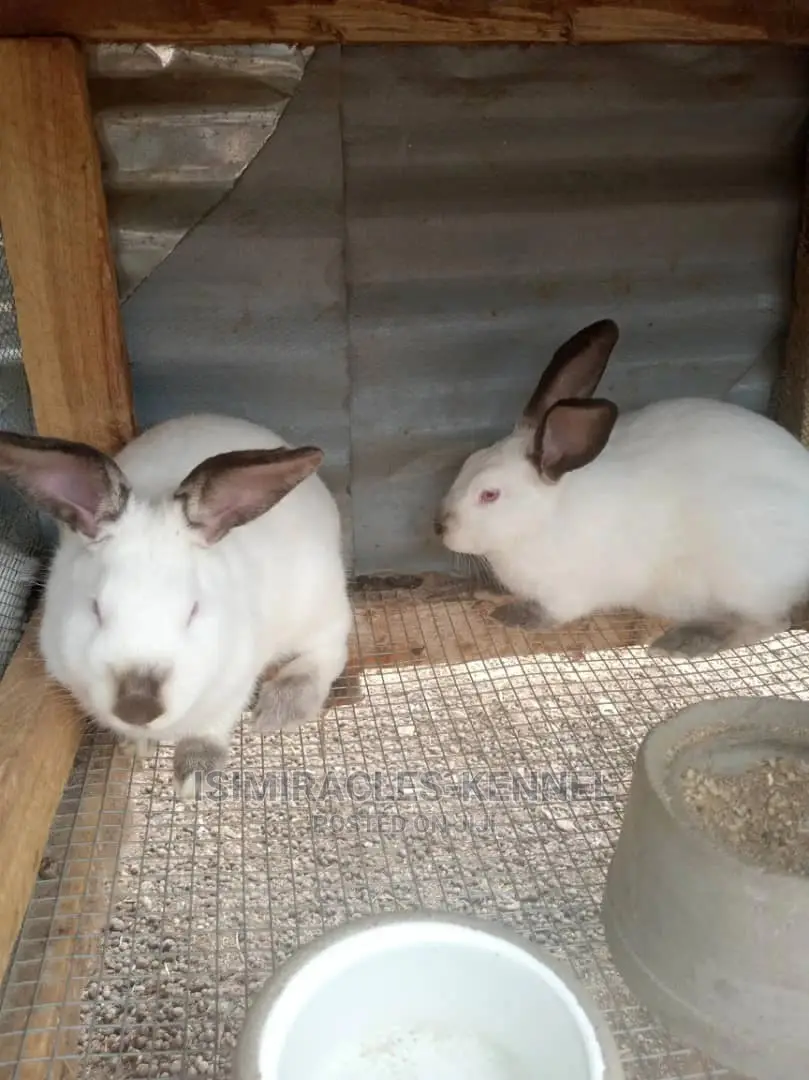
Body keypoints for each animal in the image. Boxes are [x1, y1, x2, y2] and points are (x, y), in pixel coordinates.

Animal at [0, 414, 352, 800]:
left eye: (193, 611)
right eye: (95, 608)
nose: (137, 706)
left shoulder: (233, 686)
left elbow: (208, 731)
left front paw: (194, 778)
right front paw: (135, 746)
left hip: (320, 605)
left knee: (329, 650)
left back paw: (281, 708)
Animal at [435, 317, 809, 658]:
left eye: (489, 494)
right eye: (466, 463)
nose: (439, 528)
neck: (542, 520)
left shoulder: (567, 591)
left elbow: (551, 614)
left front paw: (513, 615)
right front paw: (488, 594)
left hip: (745, 579)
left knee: (771, 621)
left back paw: (687, 642)